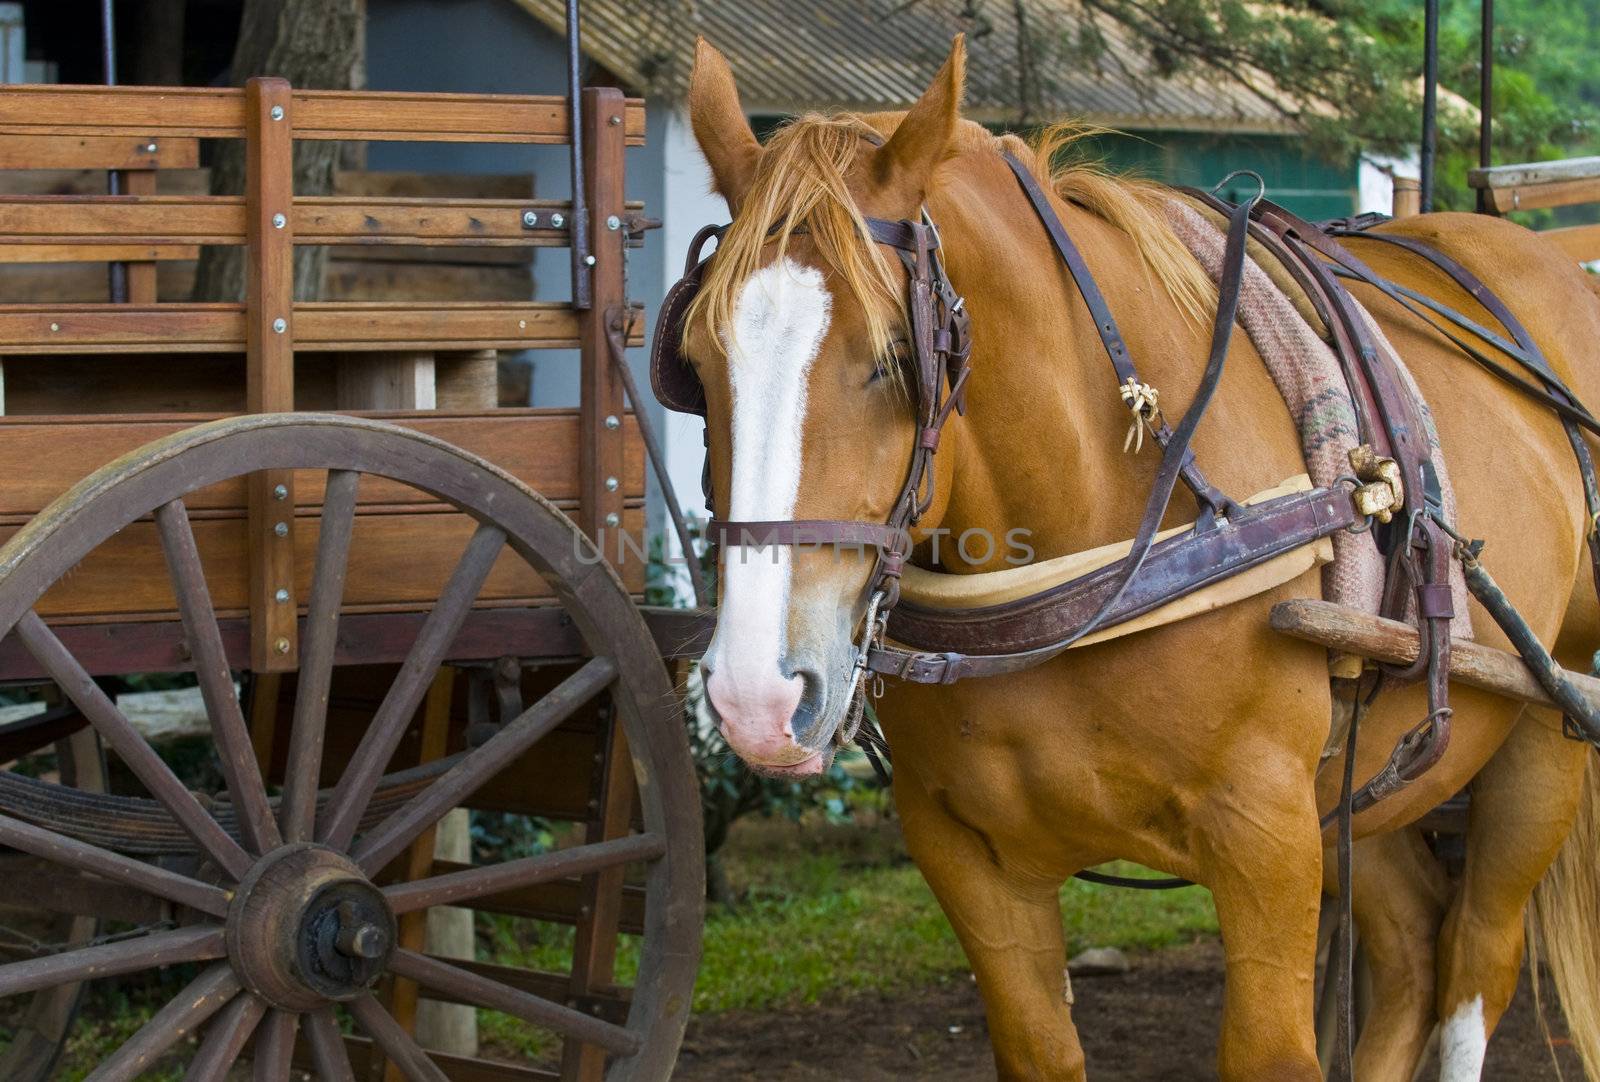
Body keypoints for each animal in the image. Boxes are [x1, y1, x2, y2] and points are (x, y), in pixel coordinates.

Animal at [681, 36, 1600, 1082]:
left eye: (893, 361)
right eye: (693, 361)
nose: (755, 697)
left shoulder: (1268, 837)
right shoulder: (966, 856)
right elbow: (1040, 1047)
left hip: (1544, 721)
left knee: (1477, 961)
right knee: (1411, 951)